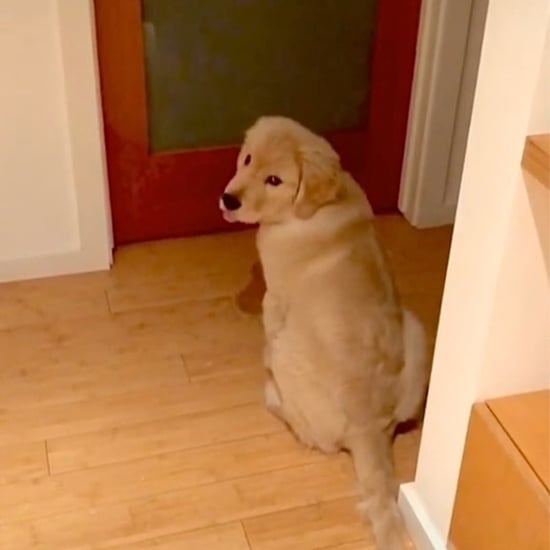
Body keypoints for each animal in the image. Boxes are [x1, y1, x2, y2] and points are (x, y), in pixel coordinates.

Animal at [222, 117, 430, 550]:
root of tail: (370, 429)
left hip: (289, 354)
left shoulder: (275, 300)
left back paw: (274, 396)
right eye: (247, 159)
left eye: (274, 179)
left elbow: (267, 321)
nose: (227, 199)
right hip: (415, 327)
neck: (314, 208)